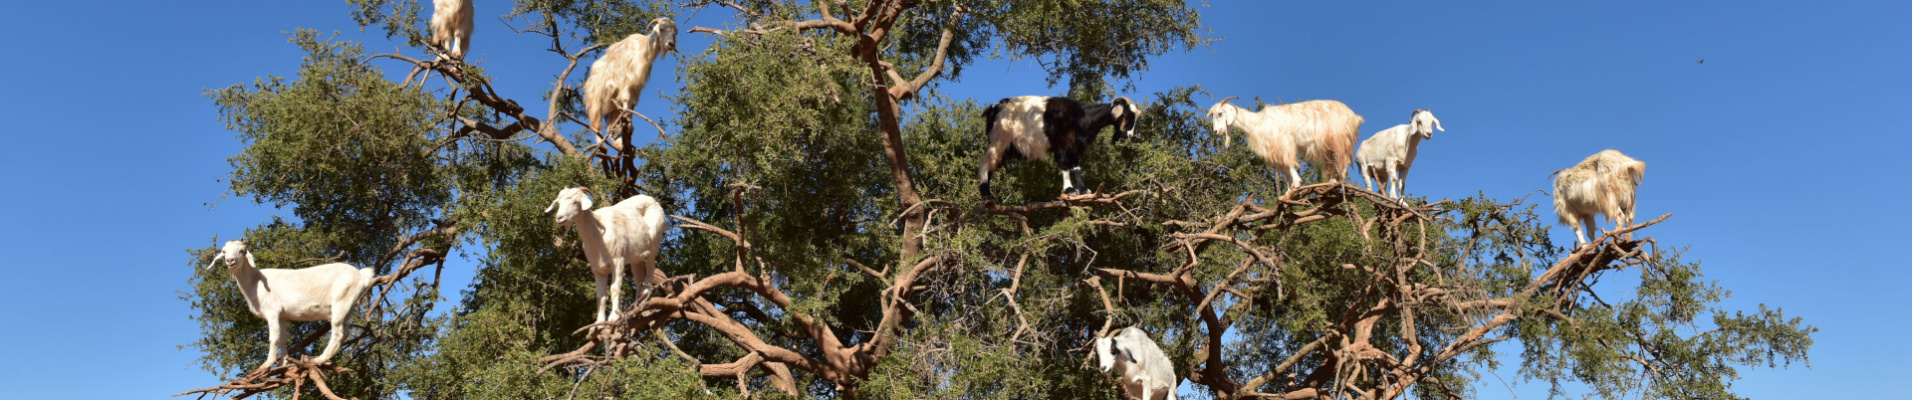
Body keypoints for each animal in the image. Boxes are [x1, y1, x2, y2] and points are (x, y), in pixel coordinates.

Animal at [205, 237, 376, 371]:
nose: (230, 261)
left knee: (338, 332)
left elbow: (273, 338)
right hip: (347, 306)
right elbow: (283, 339)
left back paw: (319, 359)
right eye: (224, 251)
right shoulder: (282, 316)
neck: (255, 282)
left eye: (242, 250)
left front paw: (267, 364)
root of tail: (361, 275)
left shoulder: (272, 312)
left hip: (341, 301)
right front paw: (283, 363)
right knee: (345, 332)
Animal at [546, 186, 673, 321]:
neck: (599, 234)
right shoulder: (598, 269)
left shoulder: (618, 261)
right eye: (559, 203)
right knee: (639, 279)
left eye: (576, 202)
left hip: (654, 244)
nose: (559, 218)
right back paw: (634, 306)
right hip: (636, 258)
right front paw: (599, 322)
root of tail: (652, 200)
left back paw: (644, 298)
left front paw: (614, 317)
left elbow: (614, 289)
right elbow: (600, 297)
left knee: (650, 271)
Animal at [978, 94, 1139, 200]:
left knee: (992, 167)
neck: (1081, 116)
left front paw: (1084, 189)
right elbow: (1064, 166)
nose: (1129, 135)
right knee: (985, 162)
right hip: (1000, 140)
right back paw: (986, 194)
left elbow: (1076, 168)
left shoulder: (1074, 147)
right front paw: (1069, 189)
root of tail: (995, 109)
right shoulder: (1061, 145)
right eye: (1128, 116)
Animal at [1200, 96, 1368, 193]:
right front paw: (1289, 191)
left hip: (1339, 139)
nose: (1216, 131)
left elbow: (1289, 164)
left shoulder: (1284, 143)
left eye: (1220, 113)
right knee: (1333, 161)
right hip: (1329, 145)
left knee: (1342, 160)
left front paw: (1297, 183)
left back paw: (1339, 180)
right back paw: (1332, 181)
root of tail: (1354, 117)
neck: (1258, 123)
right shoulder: (1275, 150)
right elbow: (1285, 170)